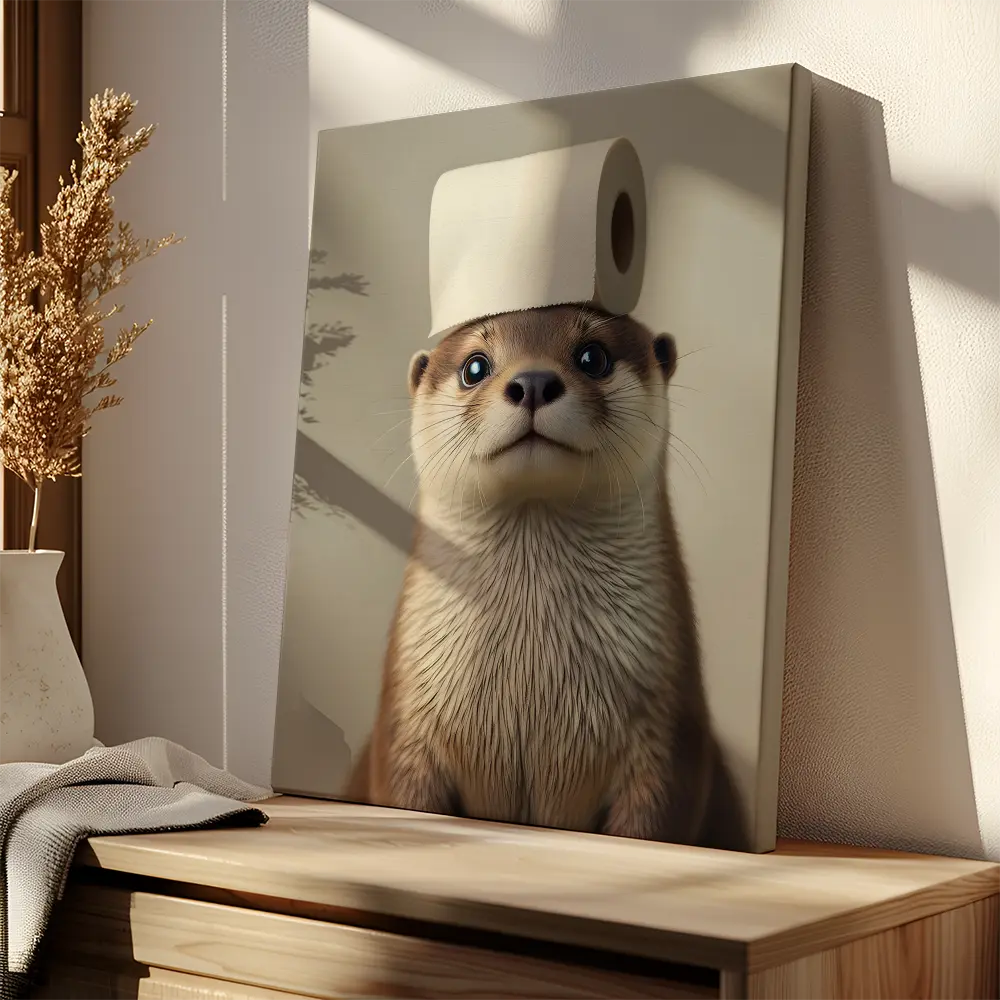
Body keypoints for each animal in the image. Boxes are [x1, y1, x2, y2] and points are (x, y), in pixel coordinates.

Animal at [345, 303, 748, 851]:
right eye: (475, 366)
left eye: (593, 356)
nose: (533, 381)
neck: (530, 684)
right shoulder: (402, 735)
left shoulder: (669, 744)